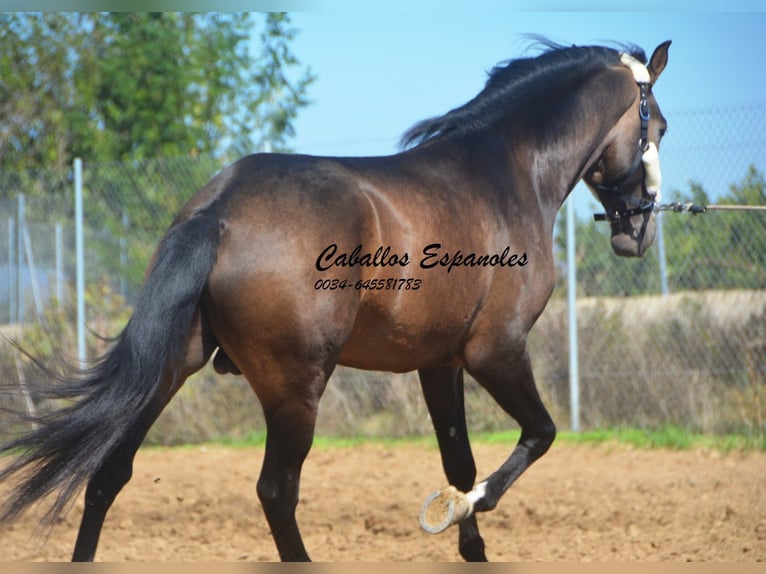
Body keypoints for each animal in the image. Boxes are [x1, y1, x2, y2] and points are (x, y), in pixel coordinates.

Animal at [0, 39, 668, 564]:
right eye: (657, 127)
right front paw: (460, 512)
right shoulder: (496, 351)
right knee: (276, 492)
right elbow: (538, 436)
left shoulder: (440, 363)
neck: (505, 172)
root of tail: (219, 212)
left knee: (108, 474)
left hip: (169, 368)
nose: (637, 233)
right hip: (296, 389)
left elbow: (460, 464)